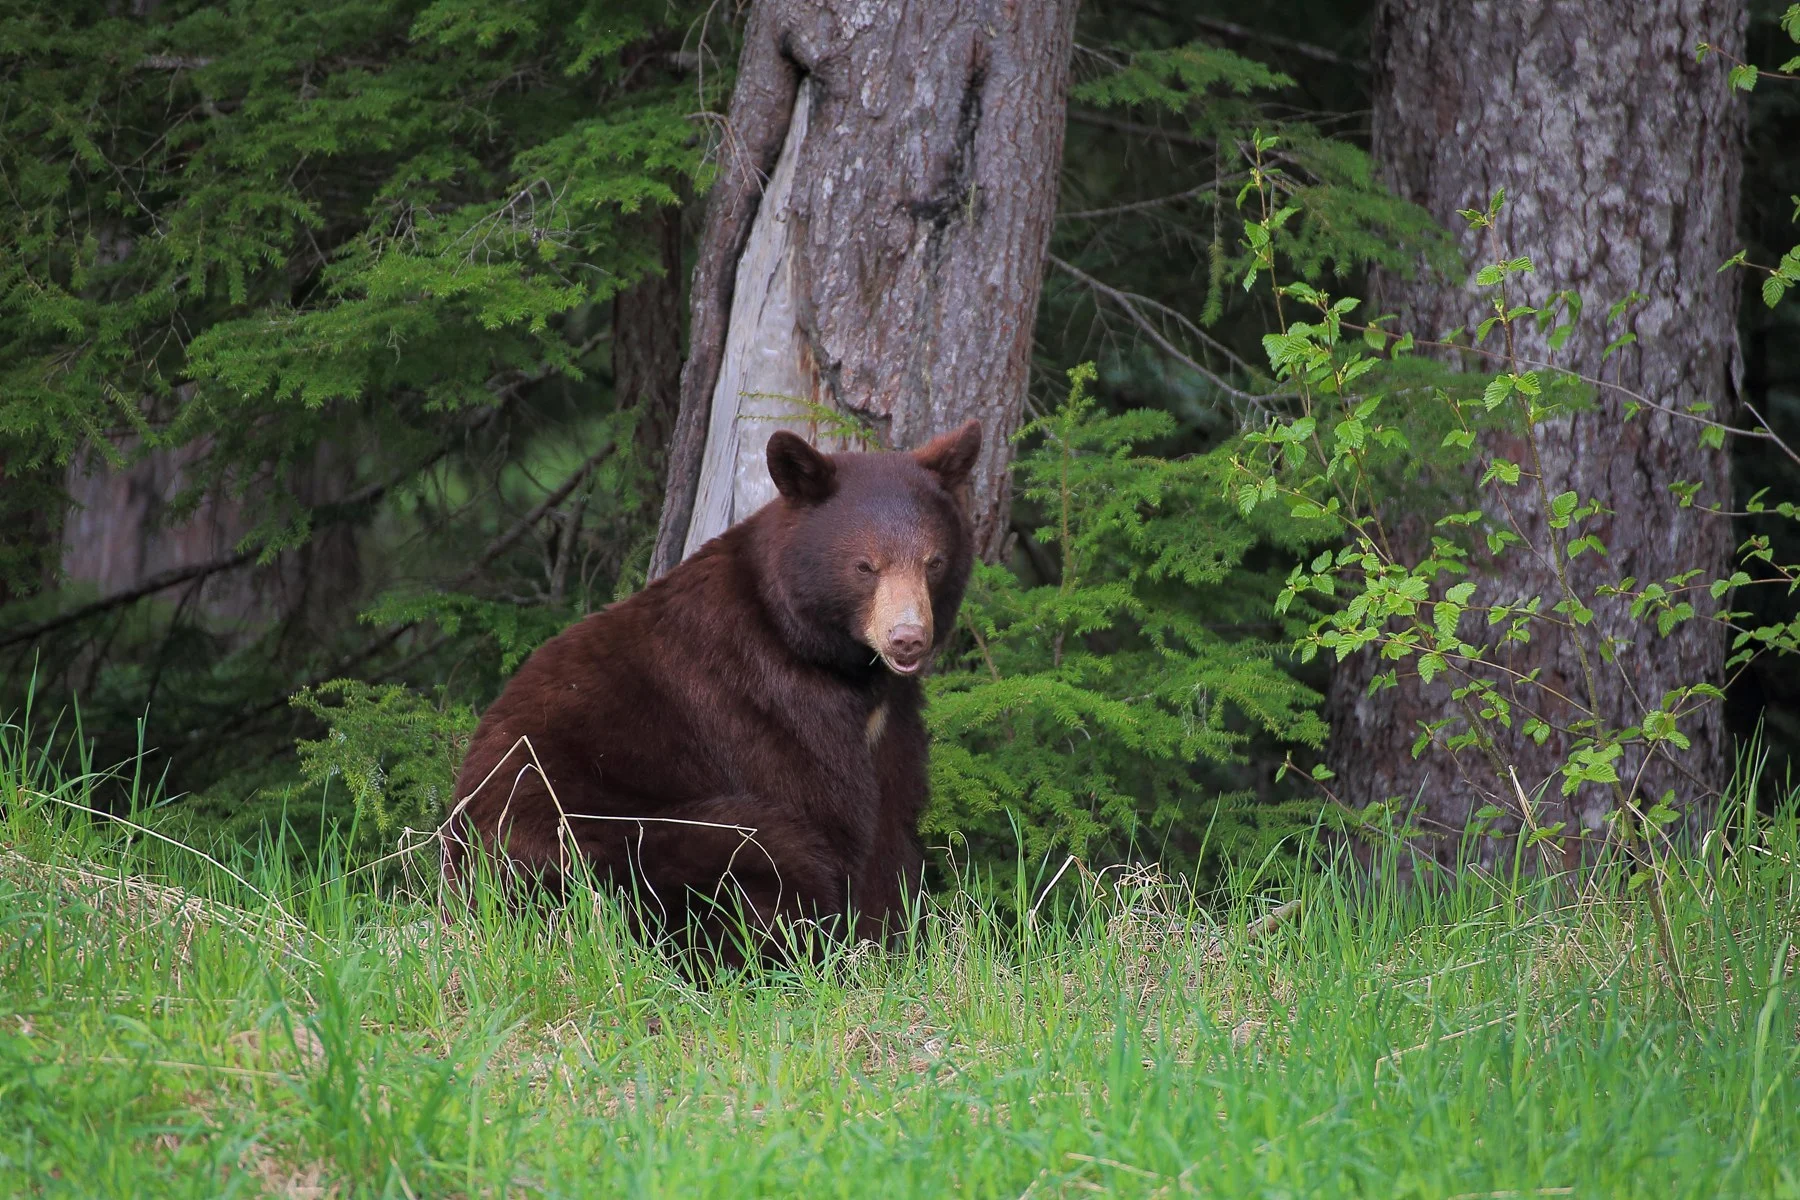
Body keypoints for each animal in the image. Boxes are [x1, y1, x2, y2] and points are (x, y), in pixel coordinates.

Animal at [443, 419, 983, 964]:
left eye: (933, 562)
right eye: (865, 566)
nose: (907, 638)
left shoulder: (890, 722)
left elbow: (890, 823)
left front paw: (894, 945)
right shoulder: (770, 708)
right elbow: (834, 815)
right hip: (617, 846)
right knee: (763, 855)